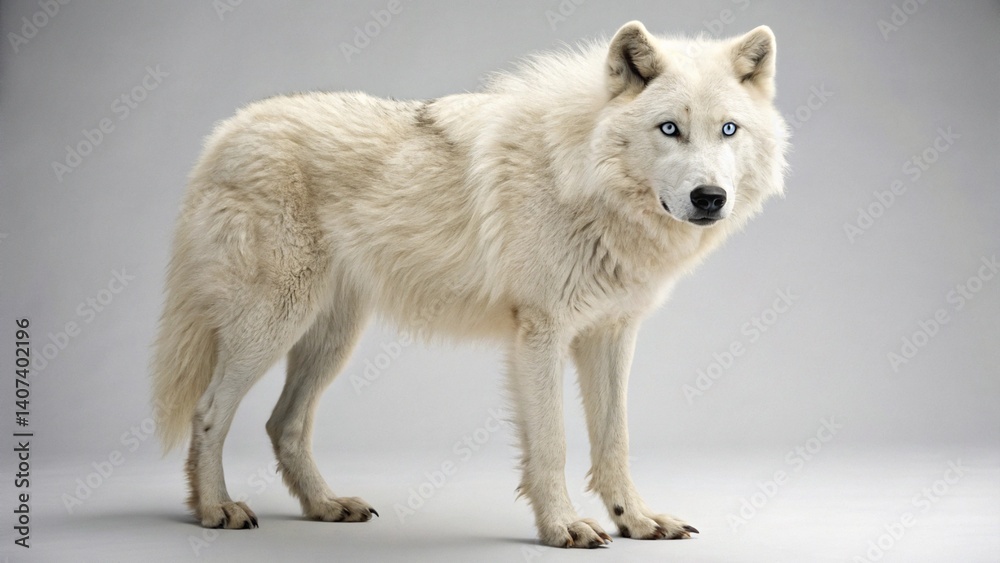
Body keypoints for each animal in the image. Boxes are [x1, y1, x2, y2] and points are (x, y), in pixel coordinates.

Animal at [152, 21, 789, 548]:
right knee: (209, 411)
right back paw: (216, 509)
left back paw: (326, 505)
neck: (580, 175)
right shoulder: (540, 335)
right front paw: (563, 527)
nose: (710, 198)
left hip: (332, 338)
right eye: (669, 129)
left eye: (728, 130)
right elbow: (553, 444)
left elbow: (615, 440)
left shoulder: (611, 334)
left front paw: (635, 520)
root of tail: (226, 132)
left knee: (283, 423)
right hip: (272, 325)